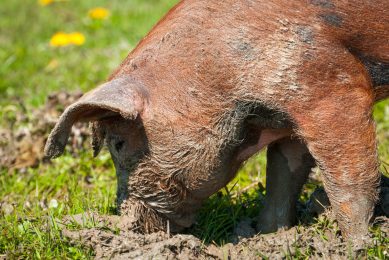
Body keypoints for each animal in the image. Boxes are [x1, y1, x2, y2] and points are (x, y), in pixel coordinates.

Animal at [44, 0, 388, 242]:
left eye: (118, 143)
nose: (127, 222)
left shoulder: (333, 86)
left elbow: (350, 180)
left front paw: (357, 244)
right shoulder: (287, 120)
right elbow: (282, 177)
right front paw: (266, 236)